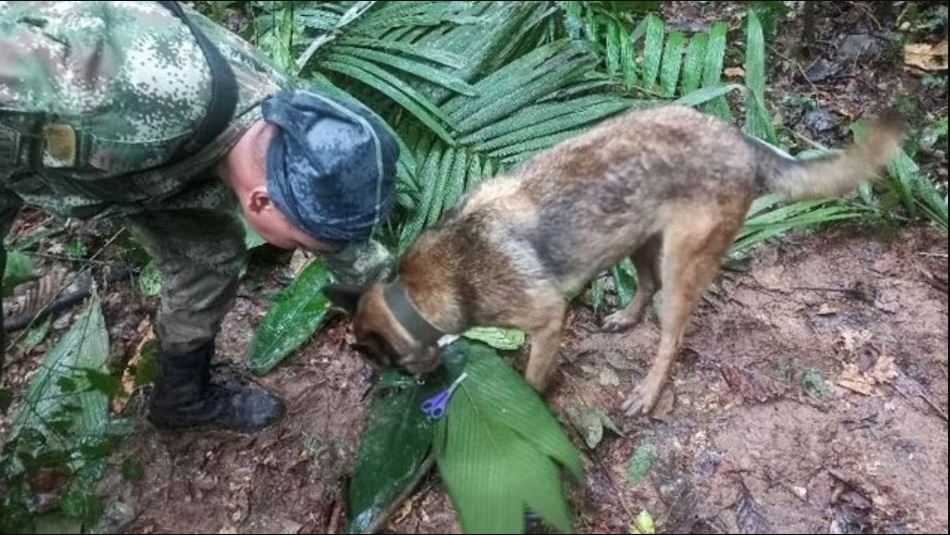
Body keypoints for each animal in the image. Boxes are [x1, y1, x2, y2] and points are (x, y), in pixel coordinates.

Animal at [330, 103, 908, 414]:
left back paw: (647, 392)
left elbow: (533, 376)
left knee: (672, 335)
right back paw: (625, 318)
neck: (420, 292)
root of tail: (741, 141)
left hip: (680, 264)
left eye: (387, 364)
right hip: (637, 240)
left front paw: (528, 403)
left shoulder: (547, 320)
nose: (417, 388)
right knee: (645, 285)